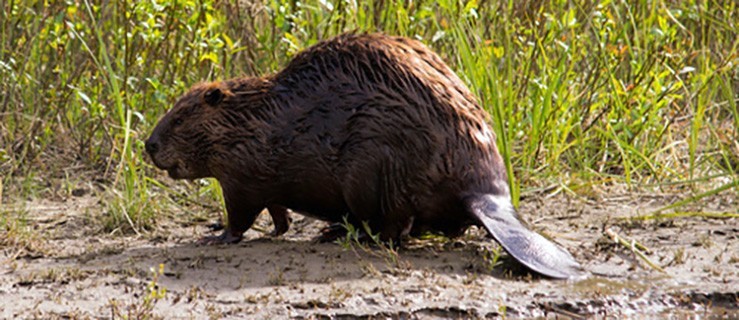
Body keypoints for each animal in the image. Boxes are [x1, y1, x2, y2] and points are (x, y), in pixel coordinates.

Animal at [143, 31, 584, 278]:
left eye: (179, 117)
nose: (149, 145)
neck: (254, 118)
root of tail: (487, 195)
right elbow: (276, 213)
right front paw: (277, 228)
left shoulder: (241, 174)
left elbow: (240, 214)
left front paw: (215, 236)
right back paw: (331, 231)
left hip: (374, 168)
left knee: (395, 228)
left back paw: (339, 235)